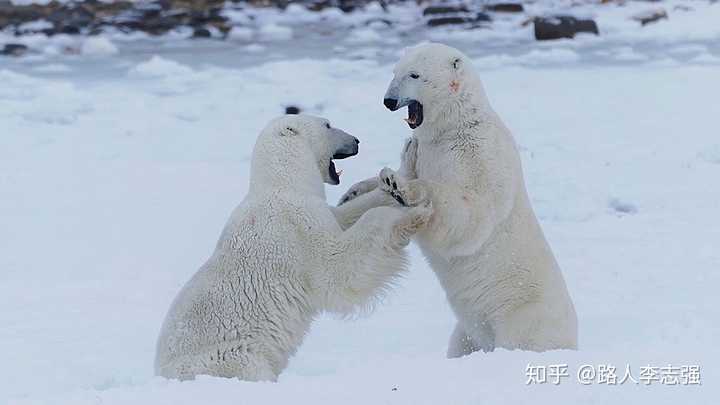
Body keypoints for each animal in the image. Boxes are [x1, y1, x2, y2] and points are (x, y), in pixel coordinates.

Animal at [155, 114, 430, 382]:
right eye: (327, 124)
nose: (356, 140)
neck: (282, 183)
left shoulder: (315, 211)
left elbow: (343, 216)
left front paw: (397, 178)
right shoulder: (296, 226)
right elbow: (336, 269)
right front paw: (414, 215)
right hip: (232, 356)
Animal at [338, 42, 580, 356]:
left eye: (415, 75)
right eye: (395, 72)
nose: (388, 100)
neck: (457, 124)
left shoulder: (479, 153)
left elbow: (473, 211)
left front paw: (404, 187)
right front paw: (355, 191)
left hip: (524, 319)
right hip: (469, 332)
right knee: (461, 344)